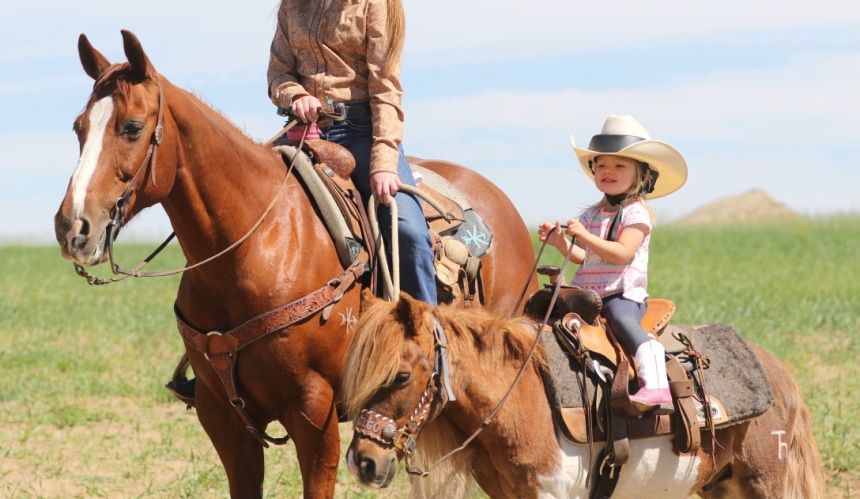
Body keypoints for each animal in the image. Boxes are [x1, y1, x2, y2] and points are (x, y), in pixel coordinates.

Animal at [53, 32, 536, 499]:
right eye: (79, 127)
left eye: (132, 127)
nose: (72, 227)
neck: (254, 249)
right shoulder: (221, 416)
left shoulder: (314, 413)